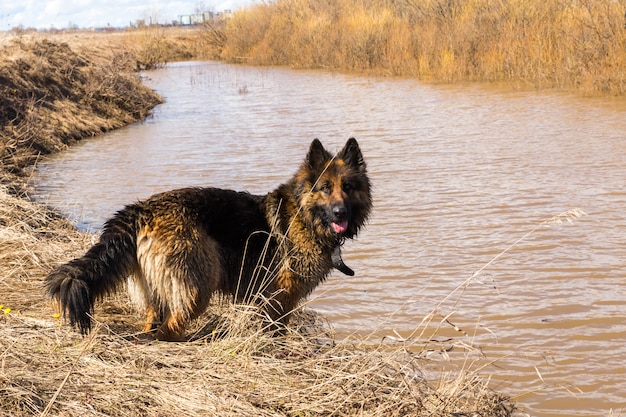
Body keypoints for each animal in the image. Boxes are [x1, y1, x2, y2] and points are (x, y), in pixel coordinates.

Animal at [47, 138, 370, 340]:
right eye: (325, 188)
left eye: (348, 187)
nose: (341, 213)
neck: (305, 216)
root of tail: (141, 209)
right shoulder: (278, 298)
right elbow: (275, 328)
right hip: (197, 285)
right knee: (169, 329)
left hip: (161, 288)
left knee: (153, 323)